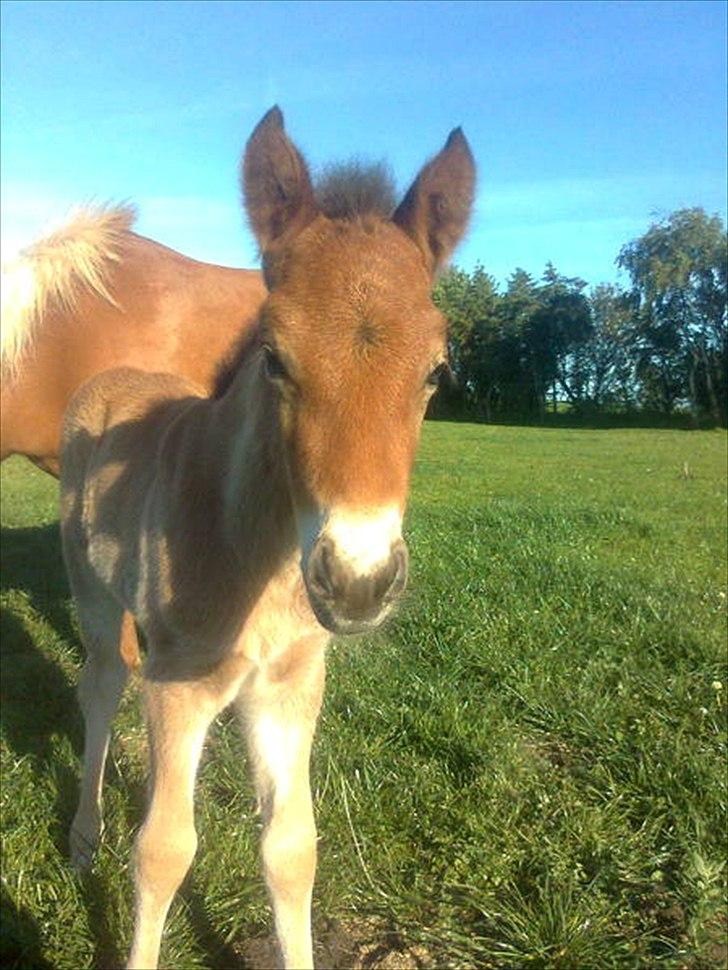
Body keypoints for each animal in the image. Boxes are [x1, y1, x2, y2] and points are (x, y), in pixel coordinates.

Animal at [59, 106, 474, 968]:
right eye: (275, 360)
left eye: (436, 372)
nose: (357, 580)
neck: (259, 561)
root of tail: (109, 378)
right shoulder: (179, 683)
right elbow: (163, 849)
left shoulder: (290, 685)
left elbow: (291, 848)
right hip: (92, 594)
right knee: (100, 687)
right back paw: (83, 838)